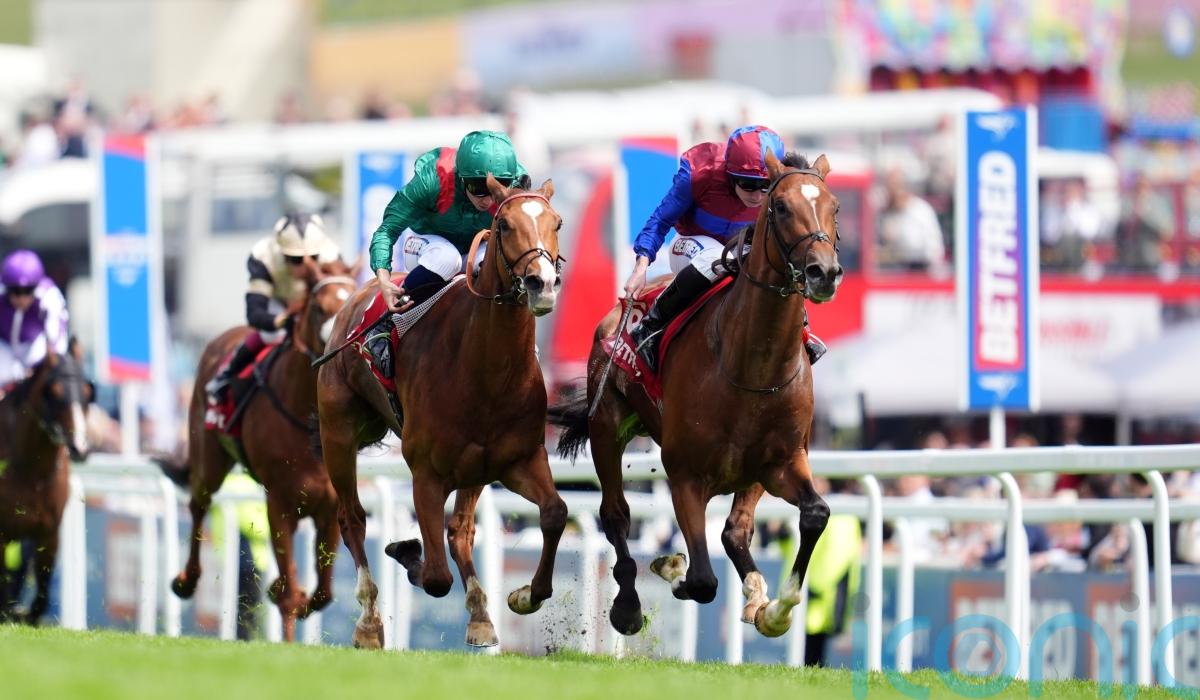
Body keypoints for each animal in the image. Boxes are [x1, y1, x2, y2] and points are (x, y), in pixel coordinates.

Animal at [0, 340, 92, 624]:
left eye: (88, 391)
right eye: (55, 391)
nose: (80, 448)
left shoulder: (49, 531)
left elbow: (42, 588)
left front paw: (25, 614)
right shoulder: (4, 531)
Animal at [162, 258, 358, 641]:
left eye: (354, 299)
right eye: (318, 307)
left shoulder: (329, 505)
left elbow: (323, 592)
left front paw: (287, 592)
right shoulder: (279, 503)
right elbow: (292, 592)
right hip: (208, 457)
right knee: (198, 504)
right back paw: (185, 580)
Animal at [318, 176, 567, 649]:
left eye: (557, 222)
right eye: (503, 225)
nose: (542, 283)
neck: (485, 372)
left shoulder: (519, 460)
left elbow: (554, 513)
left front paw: (525, 595)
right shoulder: (426, 473)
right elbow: (434, 578)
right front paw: (405, 548)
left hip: (474, 470)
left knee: (462, 532)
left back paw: (481, 616)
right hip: (337, 432)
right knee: (352, 518)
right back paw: (369, 622)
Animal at [551, 151, 844, 638]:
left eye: (834, 206)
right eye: (781, 206)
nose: (824, 271)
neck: (752, 366)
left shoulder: (781, 461)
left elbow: (815, 513)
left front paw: (777, 609)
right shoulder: (685, 473)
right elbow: (703, 579)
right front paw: (671, 569)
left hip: (749, 473)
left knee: (734, 531)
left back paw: (755, 596)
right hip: (607, 427)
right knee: (616, 515)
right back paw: (627, 605)